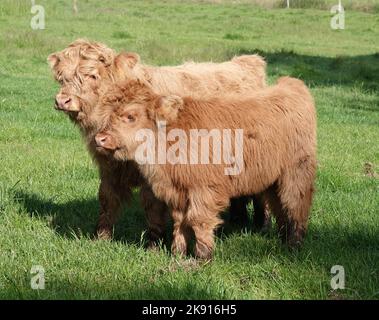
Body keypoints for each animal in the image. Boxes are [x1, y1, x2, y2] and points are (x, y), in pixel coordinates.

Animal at [95, 77, 318, 260]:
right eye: (110, 114)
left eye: (130, 116)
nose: (100, 138)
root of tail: (292, 85)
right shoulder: (177, 192)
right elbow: (180, 222)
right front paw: (178, 252)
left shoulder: (204, 190)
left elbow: (198, 220)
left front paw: (202, 255)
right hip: (273, 179)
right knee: (280, 207)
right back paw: (283, 239)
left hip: (296, 172)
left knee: (296, 205)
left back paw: (294, 245)